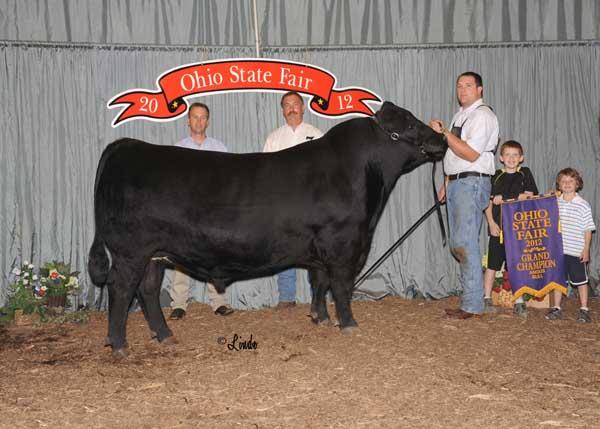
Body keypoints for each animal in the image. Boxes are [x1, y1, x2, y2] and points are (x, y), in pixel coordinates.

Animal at [89, 102, 446, 356]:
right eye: (410, 124)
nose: (442, 138)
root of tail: (127, 145)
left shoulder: (320, 248)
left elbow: (319, 282)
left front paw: (319, 318)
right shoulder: (343, 243)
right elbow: (341, 286)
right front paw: (349, 324)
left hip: (154, 254)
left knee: (147, 290)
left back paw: (164, 336)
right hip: (130, 252)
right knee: (121, 289)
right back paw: (119, 345)